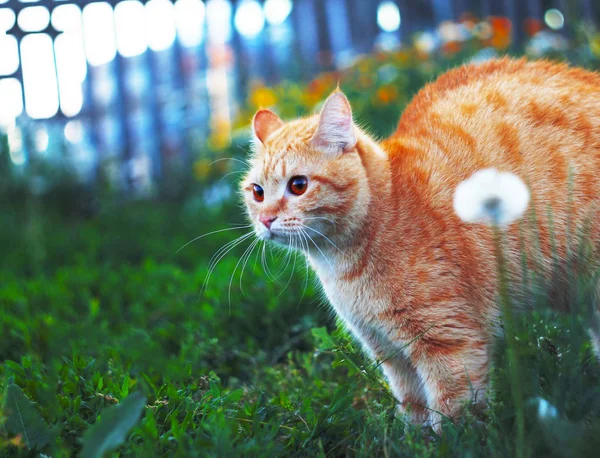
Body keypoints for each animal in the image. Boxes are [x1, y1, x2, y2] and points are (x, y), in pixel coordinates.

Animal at [239, 58, 600, 430]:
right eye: (257, 192)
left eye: (298, 185)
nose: (265, 219)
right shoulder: (390, 352)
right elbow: (412, 406)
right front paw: (413, 435)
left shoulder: (448, 340)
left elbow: (453, 412)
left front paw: (454, 436)